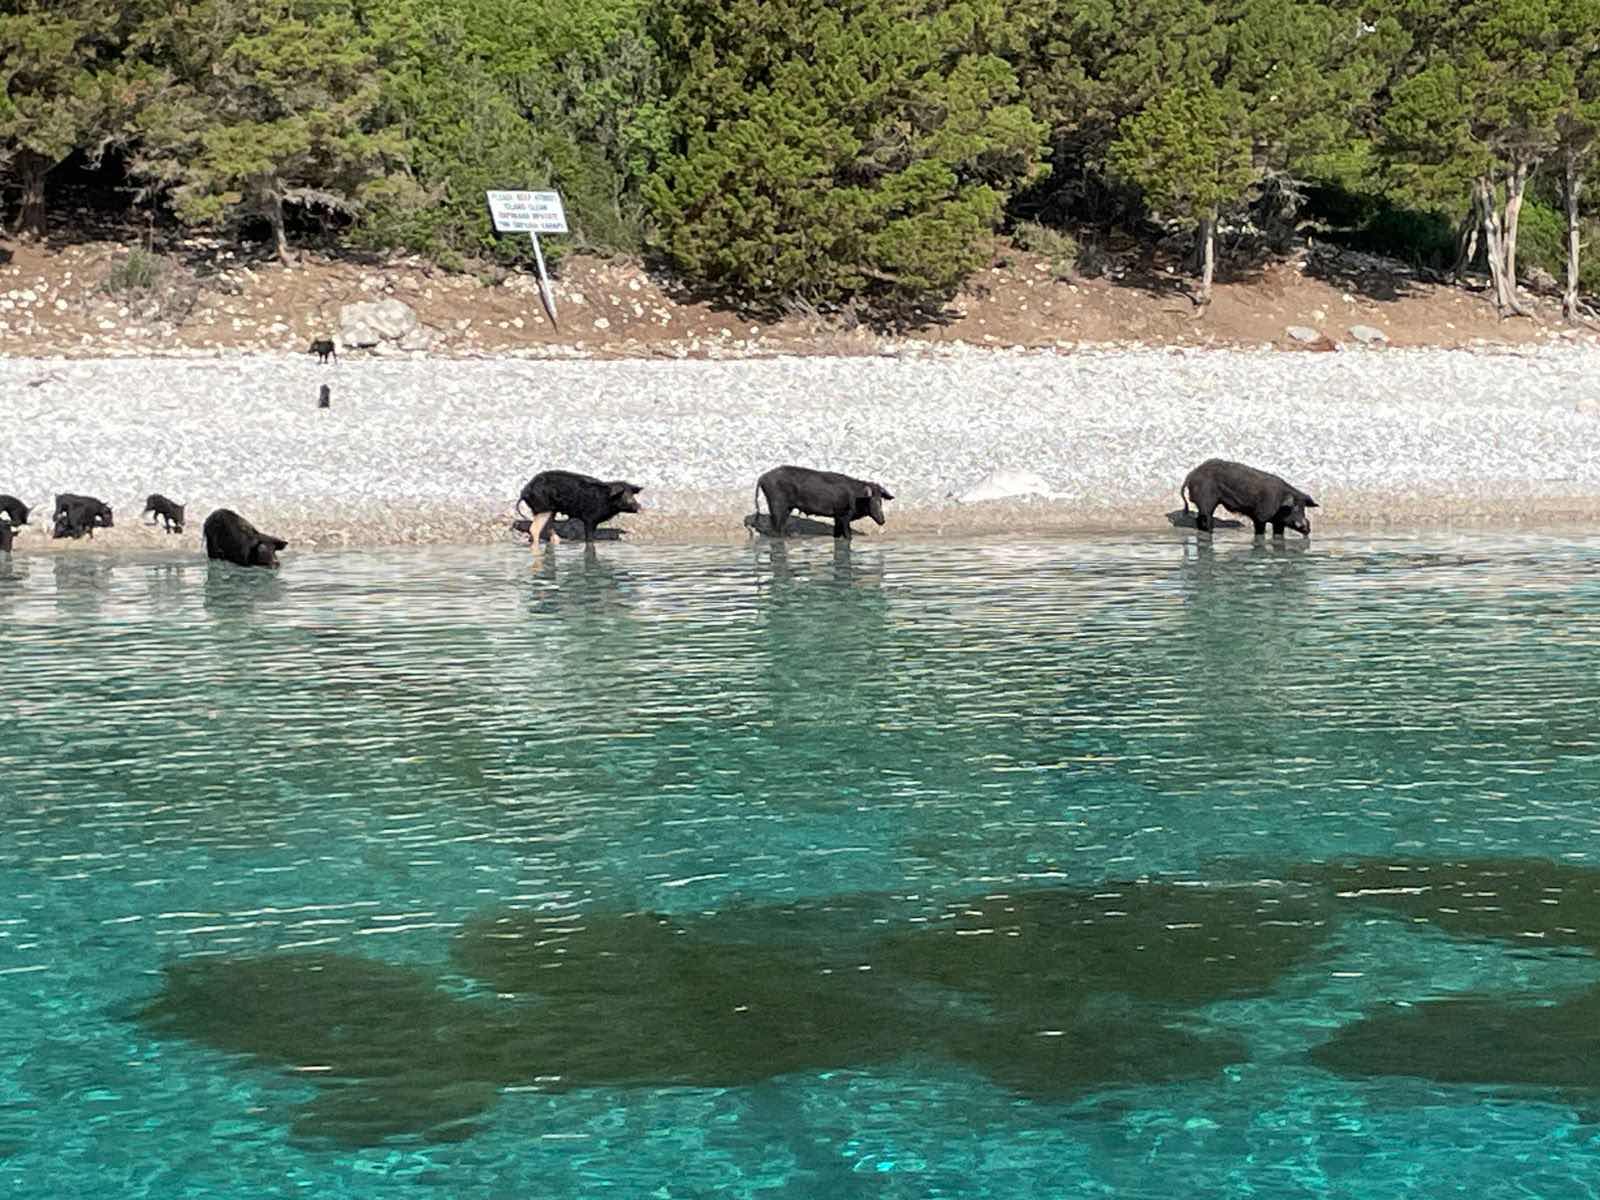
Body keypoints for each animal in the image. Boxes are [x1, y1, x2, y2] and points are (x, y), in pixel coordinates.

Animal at [754, 465, 894, 540]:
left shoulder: (837, 517)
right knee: (775, 526)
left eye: (881, 500)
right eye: (873, 500)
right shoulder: (844, 515)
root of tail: (761, 477)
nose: (883, 520)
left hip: (786, 508)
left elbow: (837, 533)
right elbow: (848, 534)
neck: (856, 497)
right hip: (776, 503)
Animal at [1181, 458, 1318, 538]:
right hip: (1206, 501)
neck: (1279, 503)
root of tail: (1190, 476)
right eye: (1294, 507)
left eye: (1304, 508)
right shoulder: (1260, 516)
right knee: (1205, 518)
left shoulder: (1278, 523)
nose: (1307, 529)